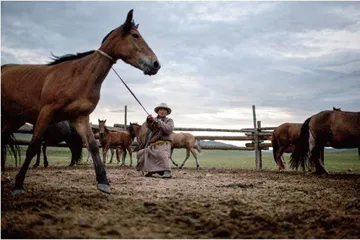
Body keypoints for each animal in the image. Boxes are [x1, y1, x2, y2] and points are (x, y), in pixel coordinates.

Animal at [0, 9, 160, 195]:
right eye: (135, 36)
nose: (156, 64)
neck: (78, 76)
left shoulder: (81, 117)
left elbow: (93, 146)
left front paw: (103, 182)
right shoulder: (46, 113)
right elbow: (33, 147)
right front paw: (18, 184)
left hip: (14, 119)